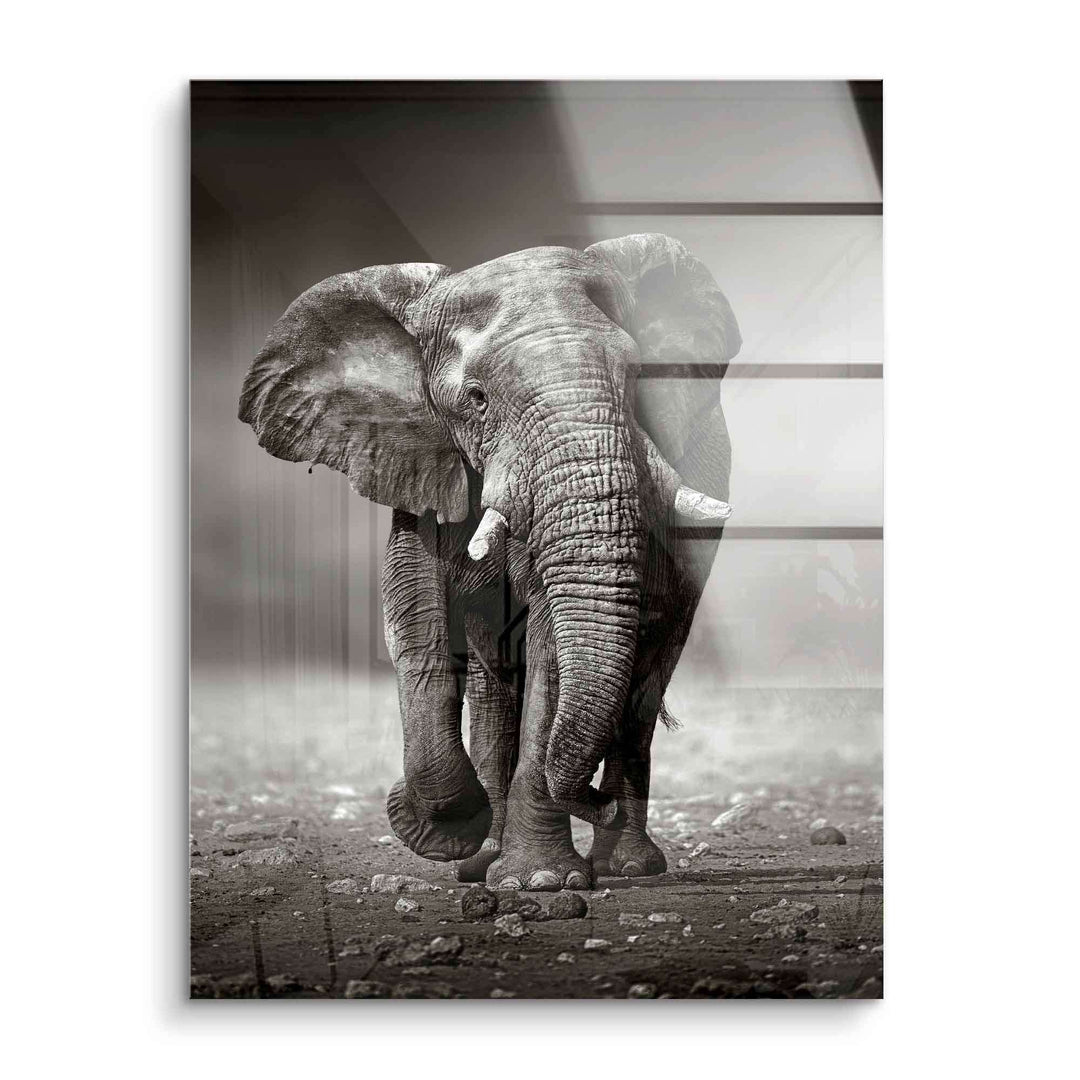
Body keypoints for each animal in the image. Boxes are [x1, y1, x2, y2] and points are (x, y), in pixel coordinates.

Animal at [238, 233, 739, 891]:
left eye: (636, 380)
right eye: (475, 399)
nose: (596, 802)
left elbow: (550, 644)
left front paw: (540, 882)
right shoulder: (420, 461)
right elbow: (414, 619)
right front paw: (445, 833)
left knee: (646, 676)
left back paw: (627, 865)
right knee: (495, 681)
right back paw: (485, 860)